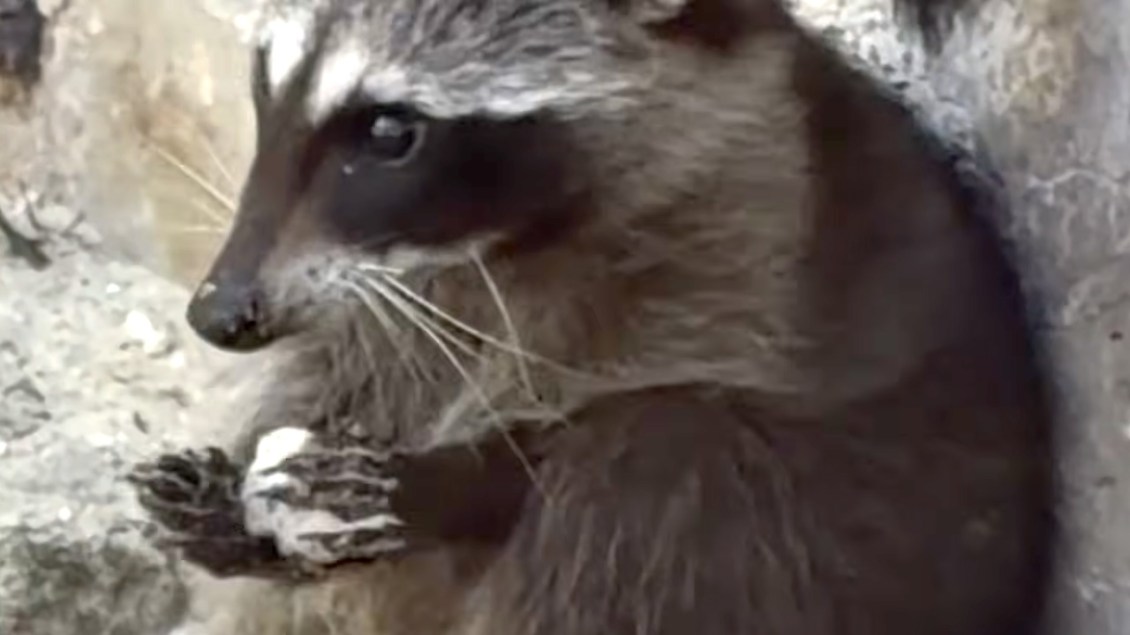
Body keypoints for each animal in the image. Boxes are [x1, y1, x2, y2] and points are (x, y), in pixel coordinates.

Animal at [129, 0, 1057, 634]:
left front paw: (453, 480)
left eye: (391, 131)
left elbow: (614, 430)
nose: (218, 313)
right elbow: (329, 363)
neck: (498, 243)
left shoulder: (751, 259)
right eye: (266, 84)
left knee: (652, 464)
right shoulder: (385, 295)